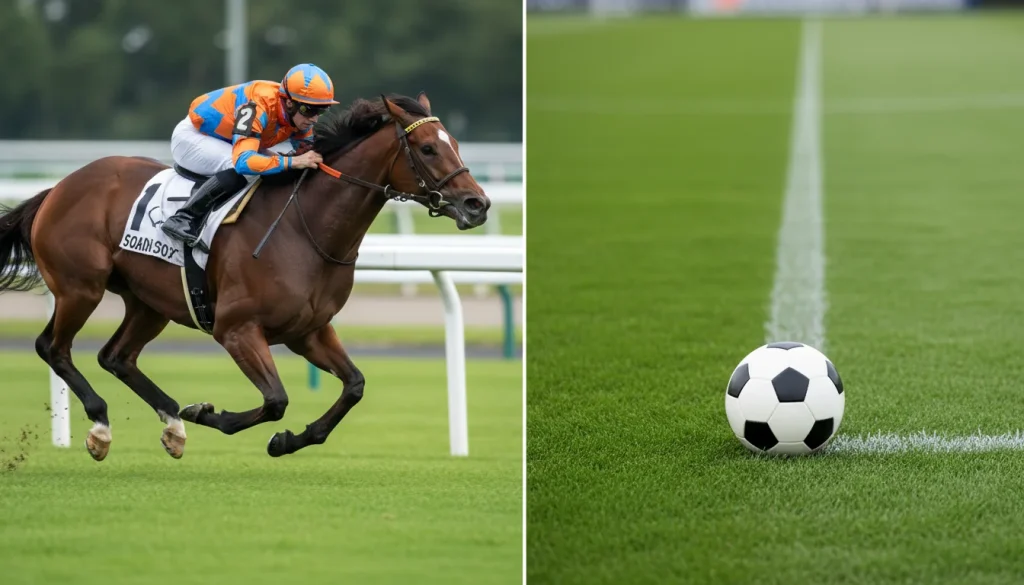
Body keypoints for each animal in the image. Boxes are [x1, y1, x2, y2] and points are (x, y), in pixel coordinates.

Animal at [0, 92, 490, 461]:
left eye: (456, 143)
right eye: (427, 148)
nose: (477, 204)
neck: (305, 227)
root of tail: (58, 187)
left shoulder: (308, 331)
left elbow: (354, 386)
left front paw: (289, 440)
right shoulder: (237, 329)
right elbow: (276, 400)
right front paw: (207, 414)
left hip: (150, 302)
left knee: (116, 356)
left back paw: (172, 422)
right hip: (80, 287)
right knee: (53, 347)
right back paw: (103, 425)